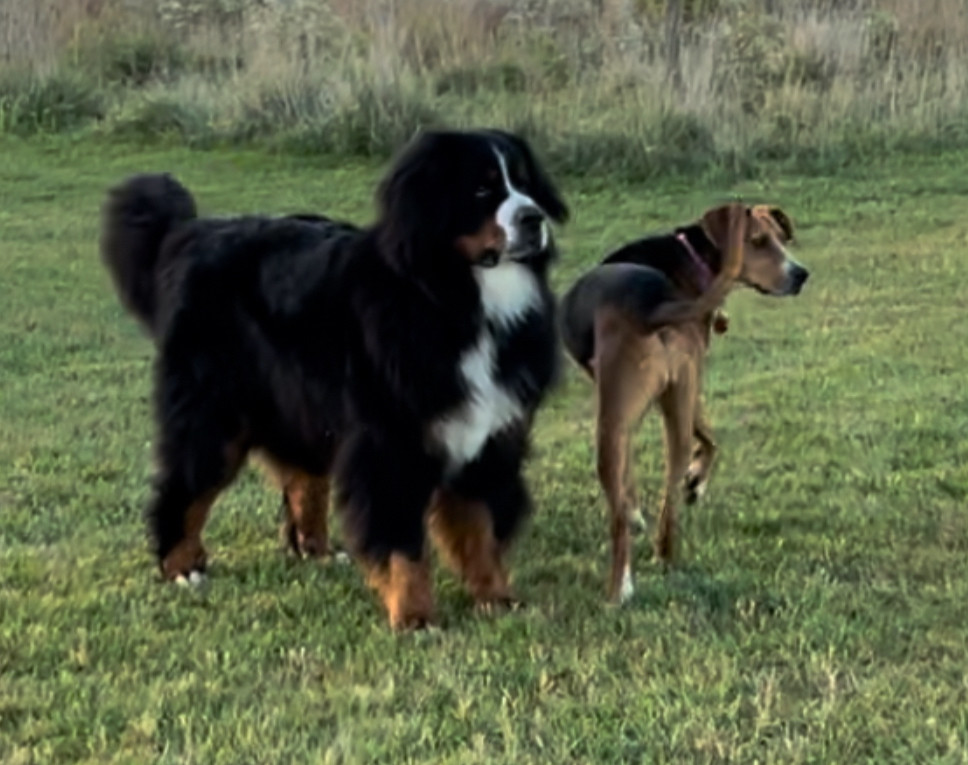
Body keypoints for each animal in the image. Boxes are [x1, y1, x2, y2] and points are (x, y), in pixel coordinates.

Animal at [100, 128, 568, 628]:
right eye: (482, 189)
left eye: (525, 183)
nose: (534, 218)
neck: (457, 297)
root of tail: (191, 233)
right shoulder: (391, 443)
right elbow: (402, 541)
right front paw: (415, 615)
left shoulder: (489, 438)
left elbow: (480, 528)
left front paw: (496, 599)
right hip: (214, 412)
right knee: (184, 486)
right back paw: (182, 566)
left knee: (302, 479)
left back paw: (316, 551)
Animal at [560, 203, 808, 604]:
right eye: (757, 241)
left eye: (780, 239)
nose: (801, 274)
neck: (695, 257)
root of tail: (653, 305)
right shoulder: (684, 387)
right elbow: (708, 437)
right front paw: (695, 482)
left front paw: (647, 504)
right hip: (671, 399)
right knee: (671, 489)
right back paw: (666, 550)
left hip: (613, 422)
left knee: (620, 518)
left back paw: (619, 588)